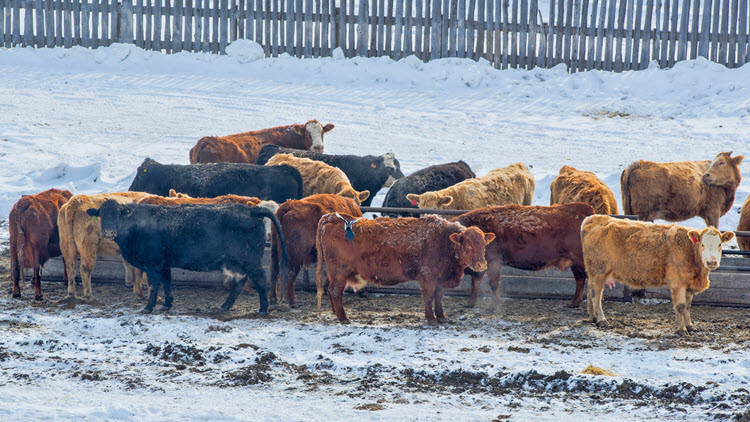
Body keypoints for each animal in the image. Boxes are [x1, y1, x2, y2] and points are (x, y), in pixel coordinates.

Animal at [86, 201, 288, 314]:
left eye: (118, 214)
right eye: (101, 214)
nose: (109, 232)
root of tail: (251, 210)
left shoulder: (153, 264)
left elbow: (154, 285)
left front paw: (149, 307)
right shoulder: (164, 264)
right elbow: (167, 283)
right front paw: (167, 305)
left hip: (249, 260)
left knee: (259, 278)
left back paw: (263, 309)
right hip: (237, 262)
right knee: (240, 281)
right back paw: (225, 306)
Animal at [315, 214, 495, 324]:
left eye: (484, 245)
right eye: (468, 246)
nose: (481, 264)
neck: (444, 241)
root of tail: (335, 217)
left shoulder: (440, 280)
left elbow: (438, 298)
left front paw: (441, 317)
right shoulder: (427, 278)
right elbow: (428, 298)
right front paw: (431, 319)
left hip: (334, 273)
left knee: (329, 287)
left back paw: (335, 312)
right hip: (340, 272)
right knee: (335, 290)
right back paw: (343, 317)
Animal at [453, 203, 595, 308]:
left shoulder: (493, 261)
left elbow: (493, 283)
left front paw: (495, 304)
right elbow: (475, 282)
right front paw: (470, 303)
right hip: (575, 263)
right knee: (580, 279)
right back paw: (574, 303)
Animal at [581, 215, 735, 334]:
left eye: (720, 245)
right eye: (702, 244)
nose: (711, 262)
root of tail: (593, 218)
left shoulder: (689, 285)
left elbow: (687, 306)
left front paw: (690, 326)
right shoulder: (678, 283)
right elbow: (680, 306)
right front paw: (681, 329)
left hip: (595, 273)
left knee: (590, 291)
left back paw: (593, 317)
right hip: (598, 269)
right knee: (596, 294)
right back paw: (601, 320)